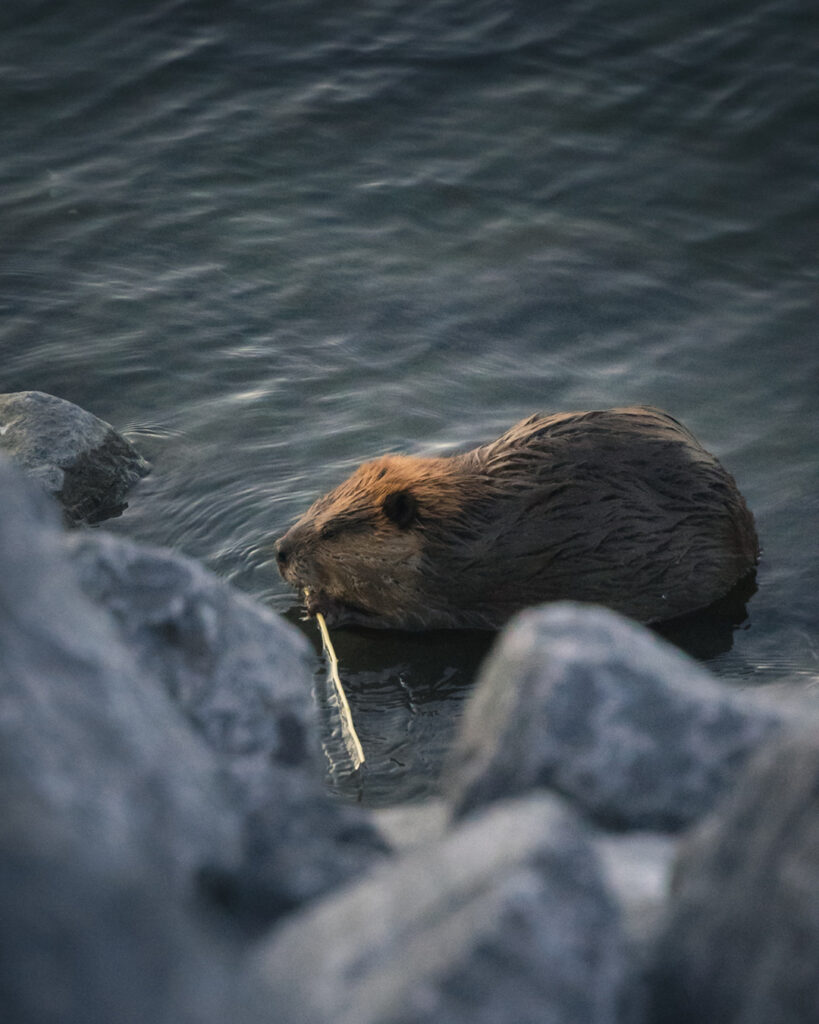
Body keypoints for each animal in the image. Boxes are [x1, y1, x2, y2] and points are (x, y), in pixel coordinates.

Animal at [274, 407, 753, 630]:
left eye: (330, 531)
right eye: (316, 506)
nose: (280, 551)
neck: (457, 529)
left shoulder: (449, 586)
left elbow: (408, 620)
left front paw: (320, 605)